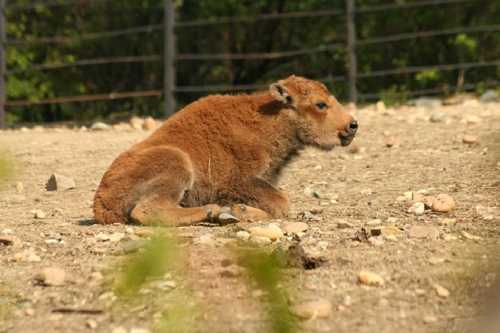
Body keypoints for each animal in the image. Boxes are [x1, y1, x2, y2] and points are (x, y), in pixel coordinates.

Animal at [94, 75, 358, 226]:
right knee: (147, 211)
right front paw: (238, 211)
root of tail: (100, 202)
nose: (352, 125)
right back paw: (212, 211)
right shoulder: (238, 181)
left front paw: (238, 211)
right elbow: (282, 203)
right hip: (176, 162)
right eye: (320, 104)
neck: (265, 120)